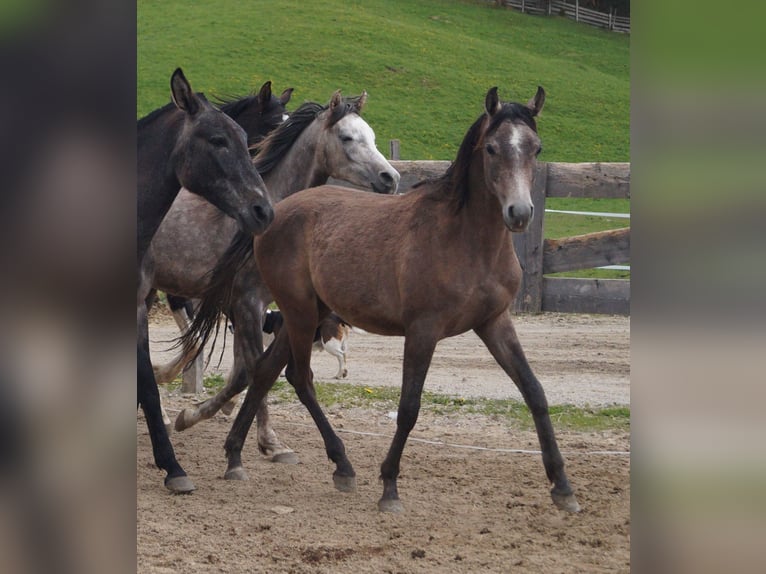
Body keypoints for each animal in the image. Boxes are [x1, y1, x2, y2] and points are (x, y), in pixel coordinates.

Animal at [188, 84, 584, 512]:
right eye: (493, 148)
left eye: (536, 148)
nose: (519, 213)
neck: (465, 239)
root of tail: (276, 212)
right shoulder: (423, 330)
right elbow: (408, 408)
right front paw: (389, 486)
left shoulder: (494, 322)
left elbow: (535, 392)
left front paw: (563, 487)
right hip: (299, 312)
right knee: (299, 377)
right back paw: (341, 466)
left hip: (307, 314)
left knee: (265, 371)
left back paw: (236, 456)